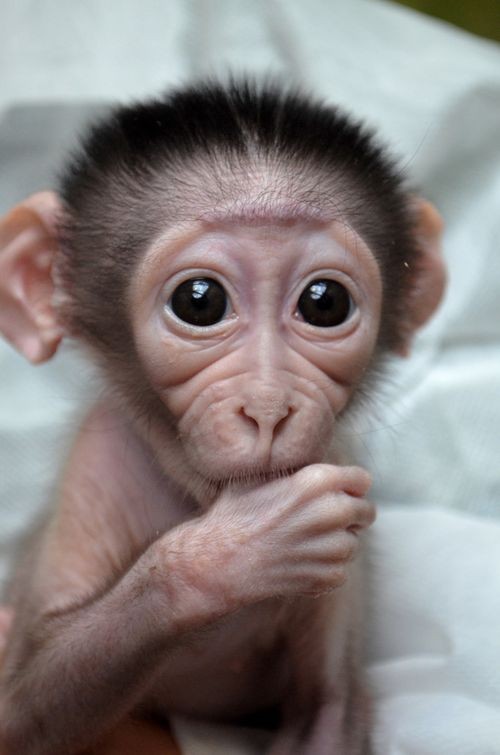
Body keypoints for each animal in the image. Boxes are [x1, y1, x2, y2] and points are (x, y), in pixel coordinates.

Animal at [0, 80, 446, 755]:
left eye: (325, 303)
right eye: (199, 301)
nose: (266, 407)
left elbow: (328, 709)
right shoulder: (94, 465)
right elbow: (18, 713)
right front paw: (232, 552)